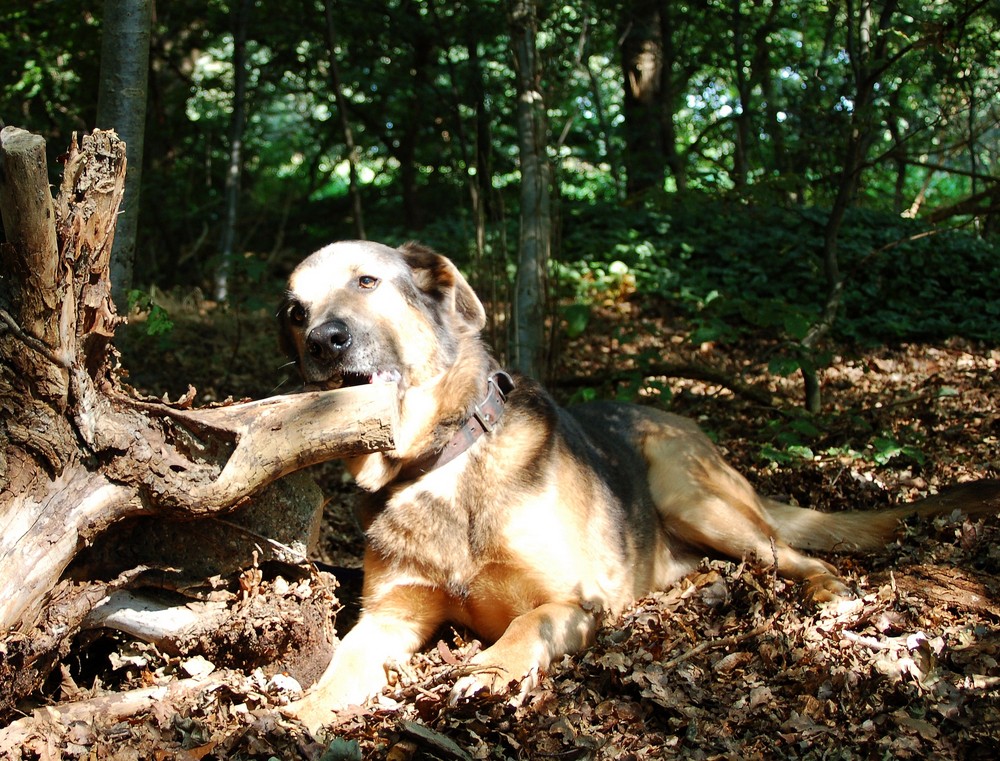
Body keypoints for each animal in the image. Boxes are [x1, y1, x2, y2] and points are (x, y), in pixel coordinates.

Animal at [276, 240, 1000, 732]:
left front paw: (485, 673)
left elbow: (524, 627)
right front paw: (299, 716)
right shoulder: (391, 616)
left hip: (688, 491)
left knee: (792, 552)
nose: (322, 342)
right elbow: (342, 665)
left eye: (367, 281)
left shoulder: (576, 601)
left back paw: (827, 591)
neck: (441, 460)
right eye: (294, 311)